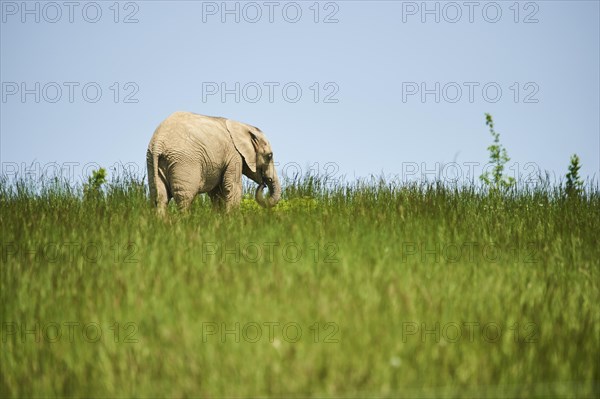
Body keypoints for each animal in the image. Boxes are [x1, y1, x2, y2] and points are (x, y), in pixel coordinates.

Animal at [146, 111, 280, 214]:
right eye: (269, 156)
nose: (263, 184)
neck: (244, 126)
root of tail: (158, 142)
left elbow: (217, 193)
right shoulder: (234, 155)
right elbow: (232, 186)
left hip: (153, 162)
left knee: (160, 197)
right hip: (183, 161)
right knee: (184, 198)